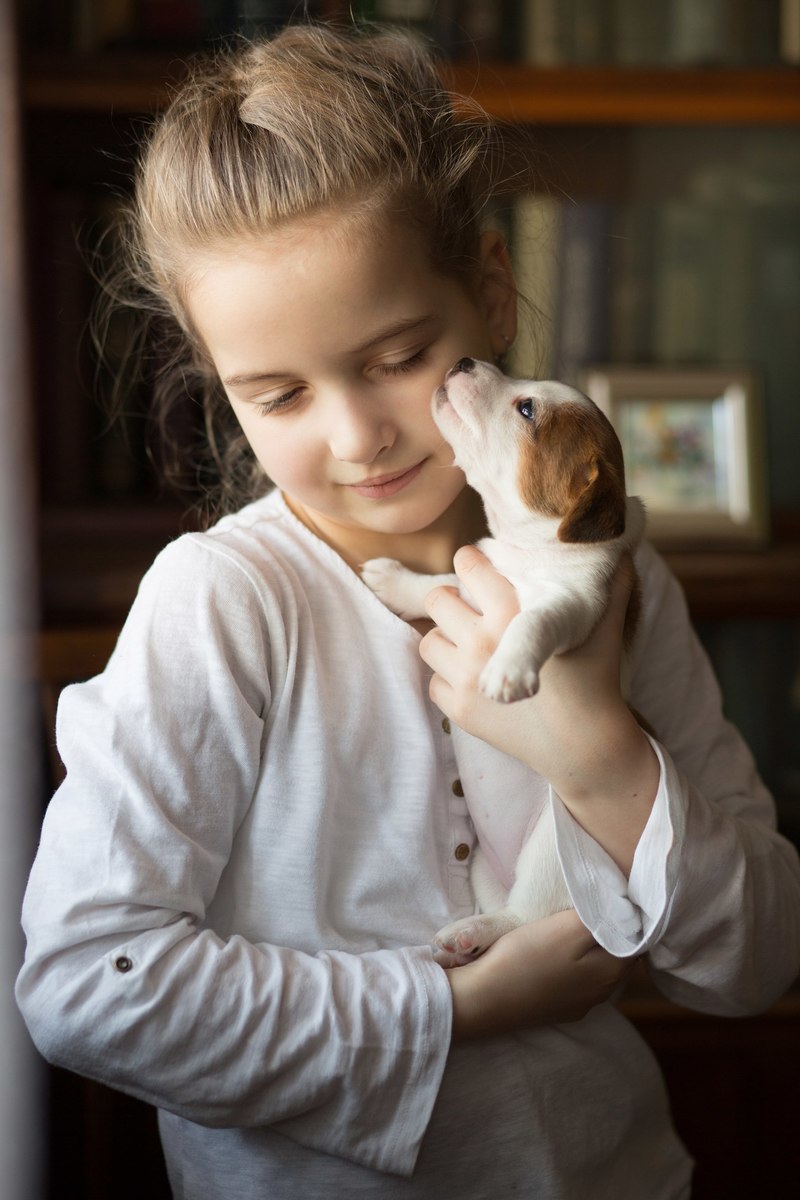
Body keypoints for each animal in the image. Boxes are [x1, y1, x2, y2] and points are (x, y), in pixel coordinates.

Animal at [362, 355, 642, 964]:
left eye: (527, 409)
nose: (465, 360)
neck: (526, 551)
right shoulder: (469, 580)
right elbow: (437, 583)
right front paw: (395, 580)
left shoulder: (574, 606)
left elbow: (532, 621)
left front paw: (508, 668)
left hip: (552, 851)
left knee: (523, 919)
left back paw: (472, 933)